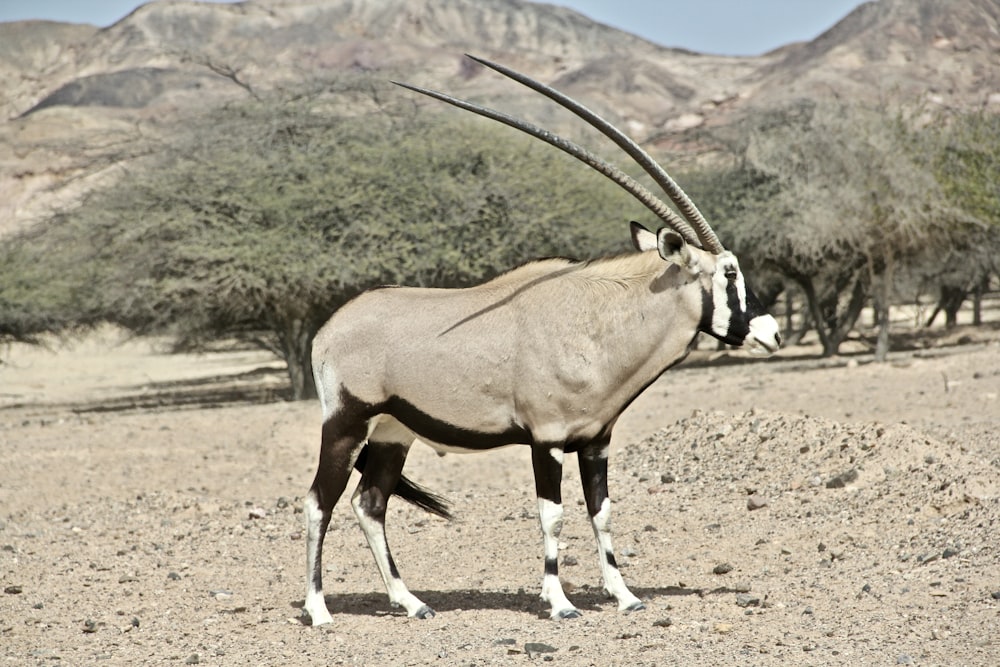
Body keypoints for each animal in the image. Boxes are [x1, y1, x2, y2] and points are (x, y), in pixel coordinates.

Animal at [304, 56, 780, 628]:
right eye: (730, 273)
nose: (772, 331)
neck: (598, 320)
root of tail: (329, 328)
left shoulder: (596, 441)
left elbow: (602, 512)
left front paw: (624, 595)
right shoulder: (546, 440)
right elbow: (552, 516)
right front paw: (560, 603)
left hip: (394, 432)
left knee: (370, 503)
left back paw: (411, 602)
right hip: (346, 423)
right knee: (320, 502)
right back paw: (318, 609)